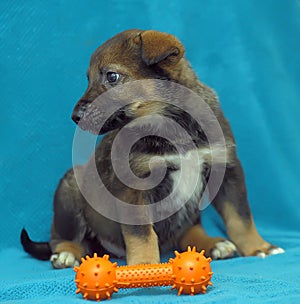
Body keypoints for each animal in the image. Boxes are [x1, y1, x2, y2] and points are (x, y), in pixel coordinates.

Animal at [21, 29, 284, 268]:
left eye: (112, 76)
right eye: (88, 79)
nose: (75, 117)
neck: (172, 123)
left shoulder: (226, 167)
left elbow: (241, 217)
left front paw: (258, 247)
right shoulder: (135, 185)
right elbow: (142, 234)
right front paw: (144, 265)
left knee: (188, 231)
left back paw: (212, 243)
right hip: (69, 190)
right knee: (60, 236)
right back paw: (67, 253)